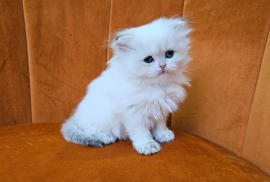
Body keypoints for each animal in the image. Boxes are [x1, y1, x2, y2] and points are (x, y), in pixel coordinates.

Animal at [61, 17, 192, 155]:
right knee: (90, 130)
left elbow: (160, 124)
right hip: (100, 117)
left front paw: (163, 135)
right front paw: (147, 145)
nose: (162, 65)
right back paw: (106, 136)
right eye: (148, 60)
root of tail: (74, 118)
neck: (155, 85)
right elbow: (141, 132)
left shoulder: (161, 107)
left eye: (169, 54)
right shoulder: (133, 113)